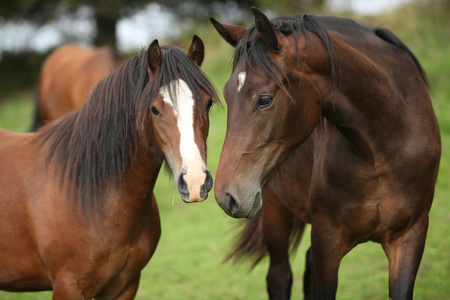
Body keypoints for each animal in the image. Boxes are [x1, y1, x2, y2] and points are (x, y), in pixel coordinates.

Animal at [211, 7, 440, 300]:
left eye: (264, 100)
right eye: (227, 96)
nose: (225, 196)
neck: (383, 152)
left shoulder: (411, 236)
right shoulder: (327, 239)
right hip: (274, 211)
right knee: (279, 277)